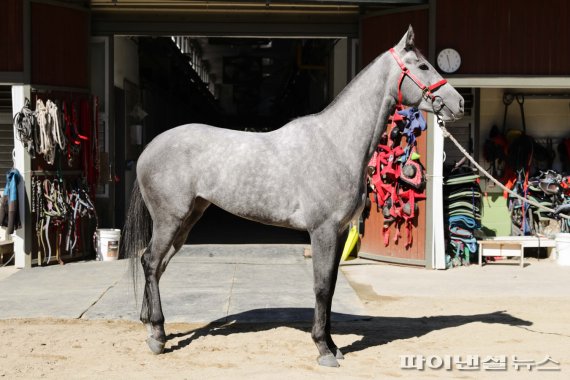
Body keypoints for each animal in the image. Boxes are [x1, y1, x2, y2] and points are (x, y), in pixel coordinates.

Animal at [123, 24, 462, 368]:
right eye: (422, 66)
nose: (459, 103)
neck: (336, 142)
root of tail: (149, 148)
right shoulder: (322, 231)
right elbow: (322, 287)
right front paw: (323, 349)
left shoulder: (339, 233)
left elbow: (331, 286)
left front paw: (334, 346)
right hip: (170, 219)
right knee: (150, 261)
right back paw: (157, 336)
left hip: (188, 219)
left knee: (158, 265)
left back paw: (150, 326)